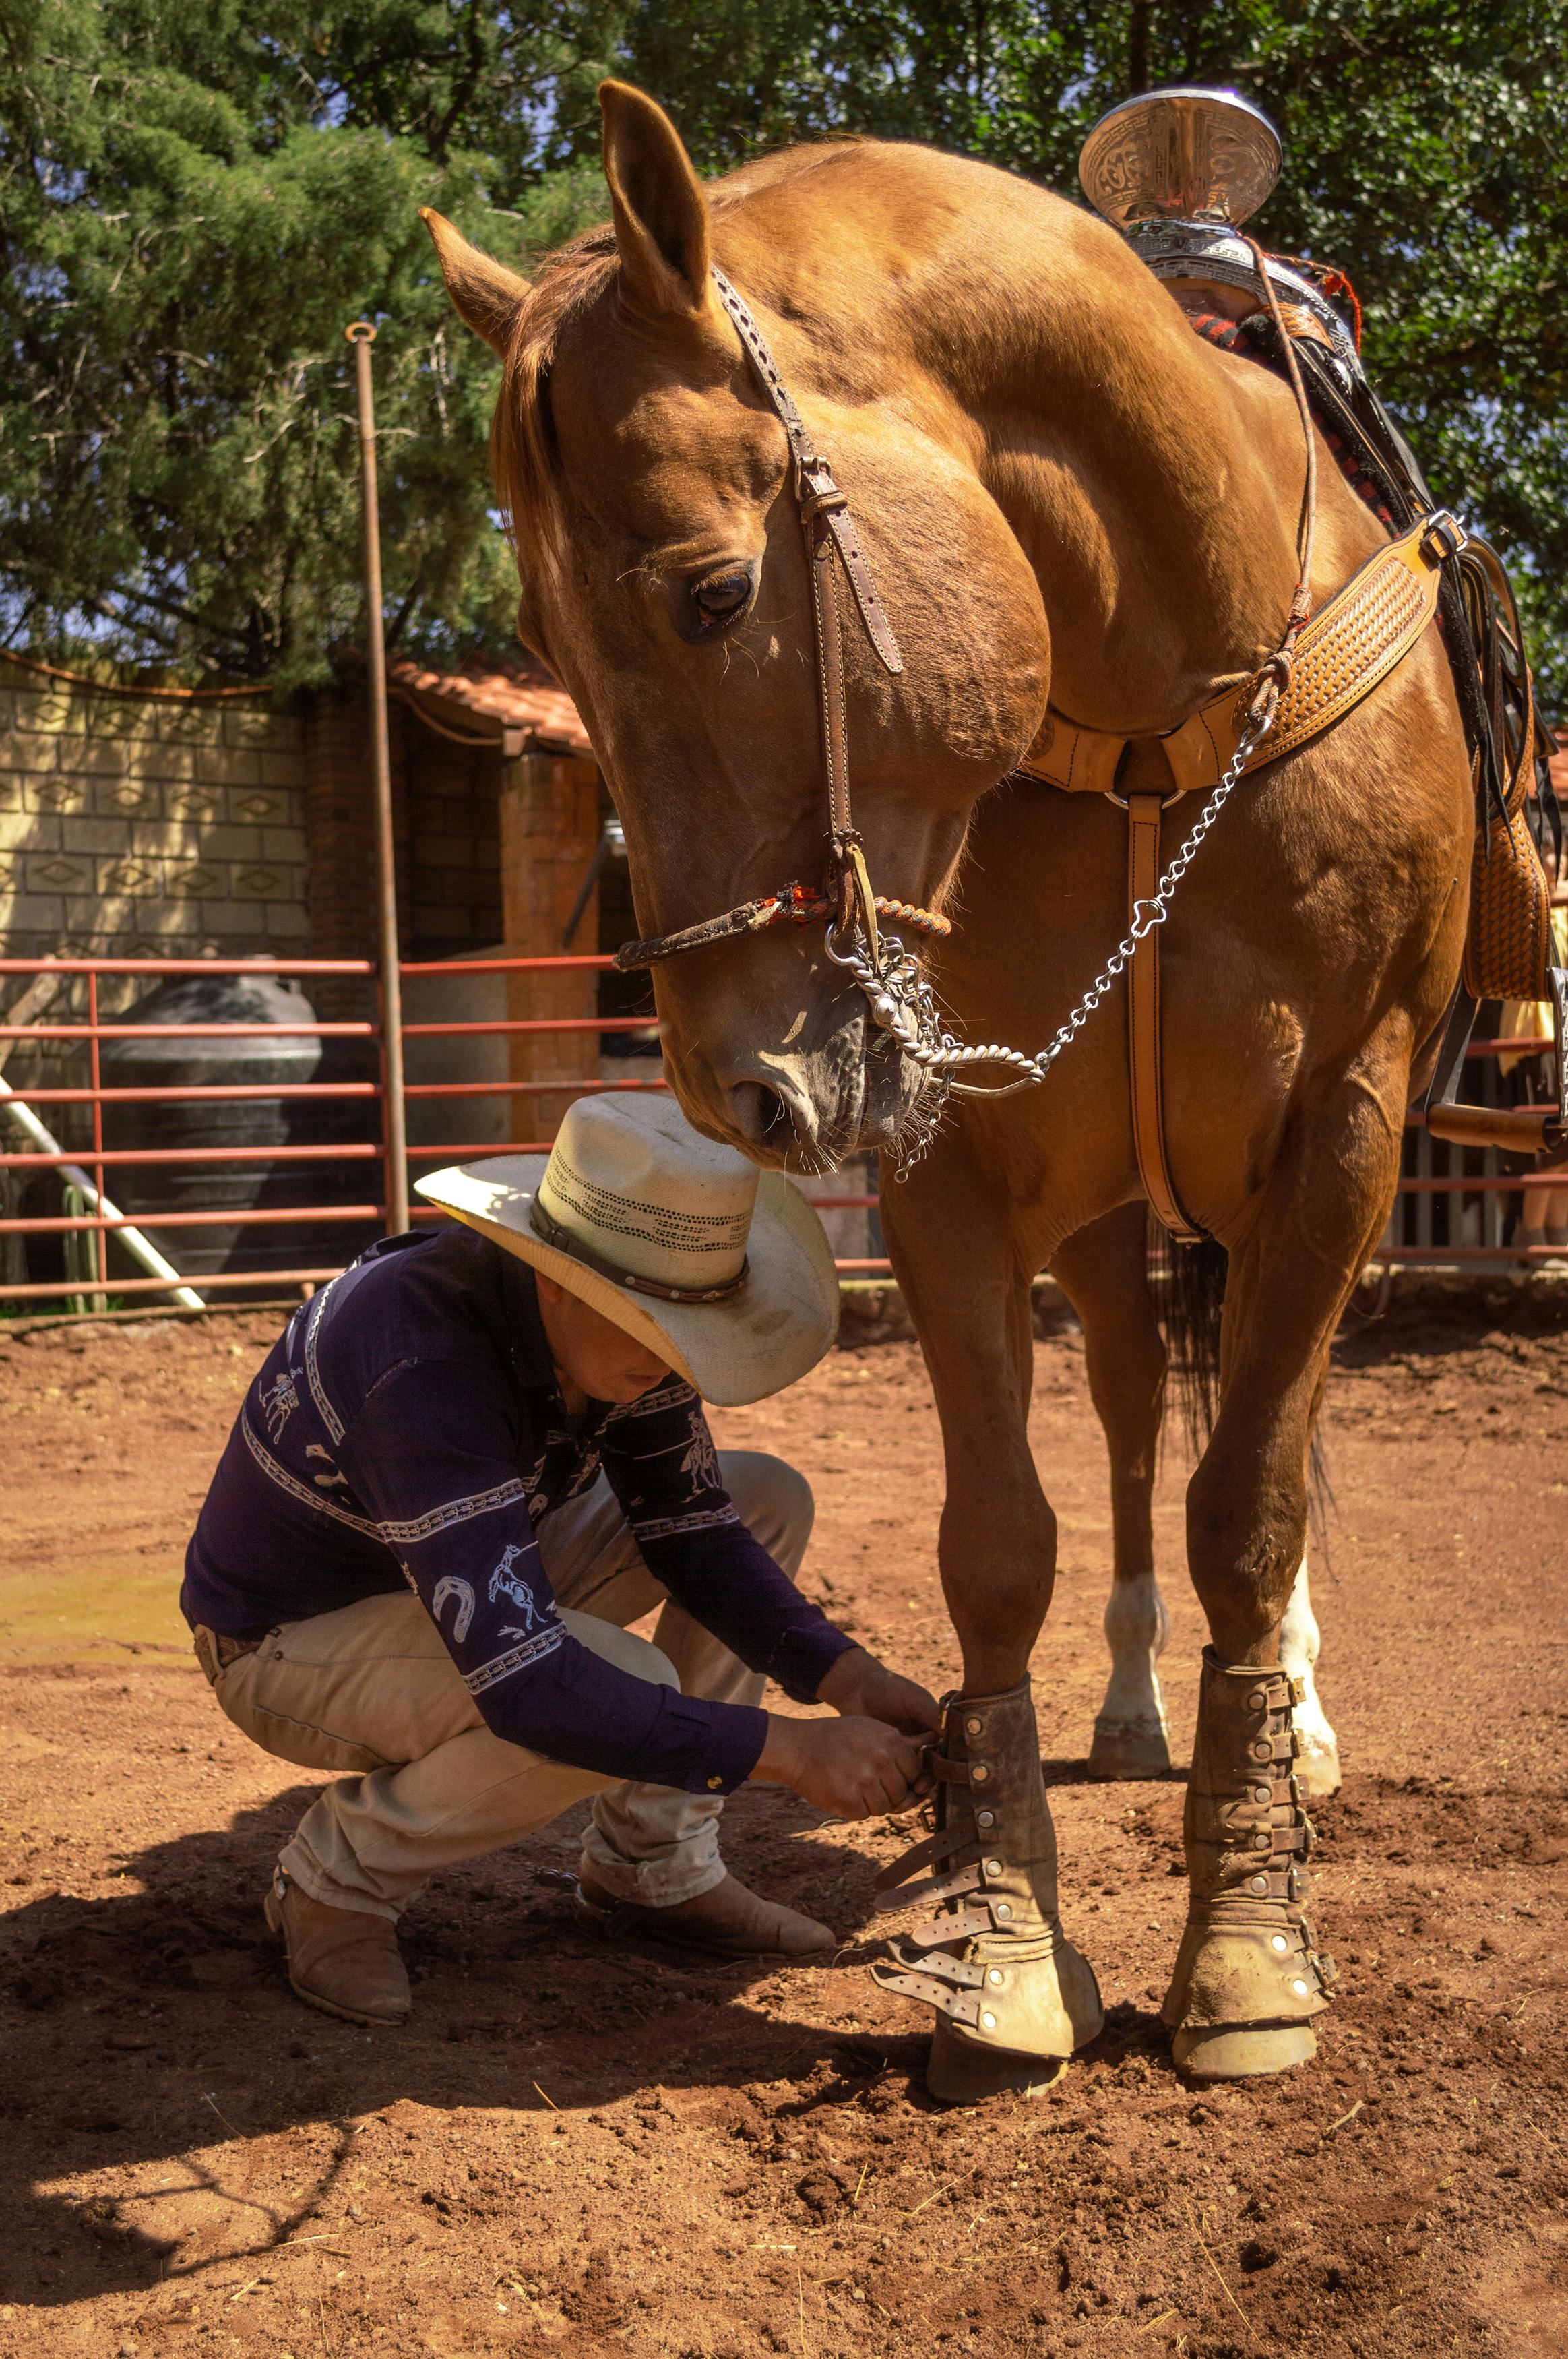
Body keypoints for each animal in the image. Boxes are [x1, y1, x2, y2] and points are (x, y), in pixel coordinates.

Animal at [424, 83, 1471, 2095]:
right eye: (553, 647)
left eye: (712, 592)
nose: (735, 1087)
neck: (1164, 708)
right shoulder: (949, 1158)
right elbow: (1001, 1547)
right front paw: (1005, 1949)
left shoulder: (1341, 1132)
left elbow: (1254, 1510)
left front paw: (1245, 1943)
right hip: (1113, 1222)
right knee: (1138, 1422)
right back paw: (1132, 1702)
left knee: (1255, 1447)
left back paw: (1286, 1721)